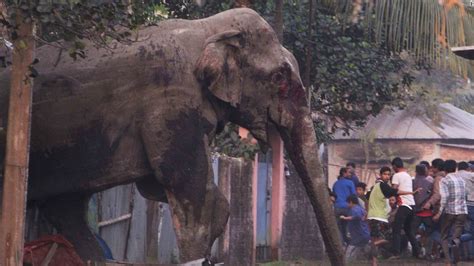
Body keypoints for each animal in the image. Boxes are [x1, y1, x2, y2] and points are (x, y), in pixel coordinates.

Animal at [0, 7, 344, 264]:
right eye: (280, 79)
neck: (207, 29)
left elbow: (159, 186)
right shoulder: (171, 100)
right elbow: (188, 187)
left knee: (67, 208)